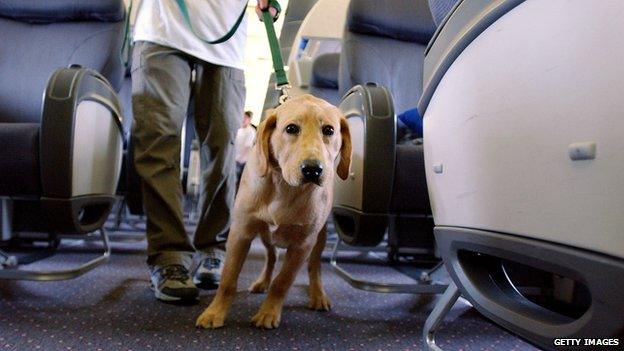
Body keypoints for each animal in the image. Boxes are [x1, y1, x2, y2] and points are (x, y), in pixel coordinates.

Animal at [196, 93, 352, 330]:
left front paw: (268, 312)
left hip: (320, 237)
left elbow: (282, 282)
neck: (284, 187)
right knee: (272, 256)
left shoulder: (303, 245)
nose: (313, 170)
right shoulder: (240, 233)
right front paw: (215, 312)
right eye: (291, 128)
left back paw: (318, 294)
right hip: (265, 235)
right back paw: (262, 281)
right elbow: (228, 279)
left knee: (314, 267)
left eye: (329, 130)